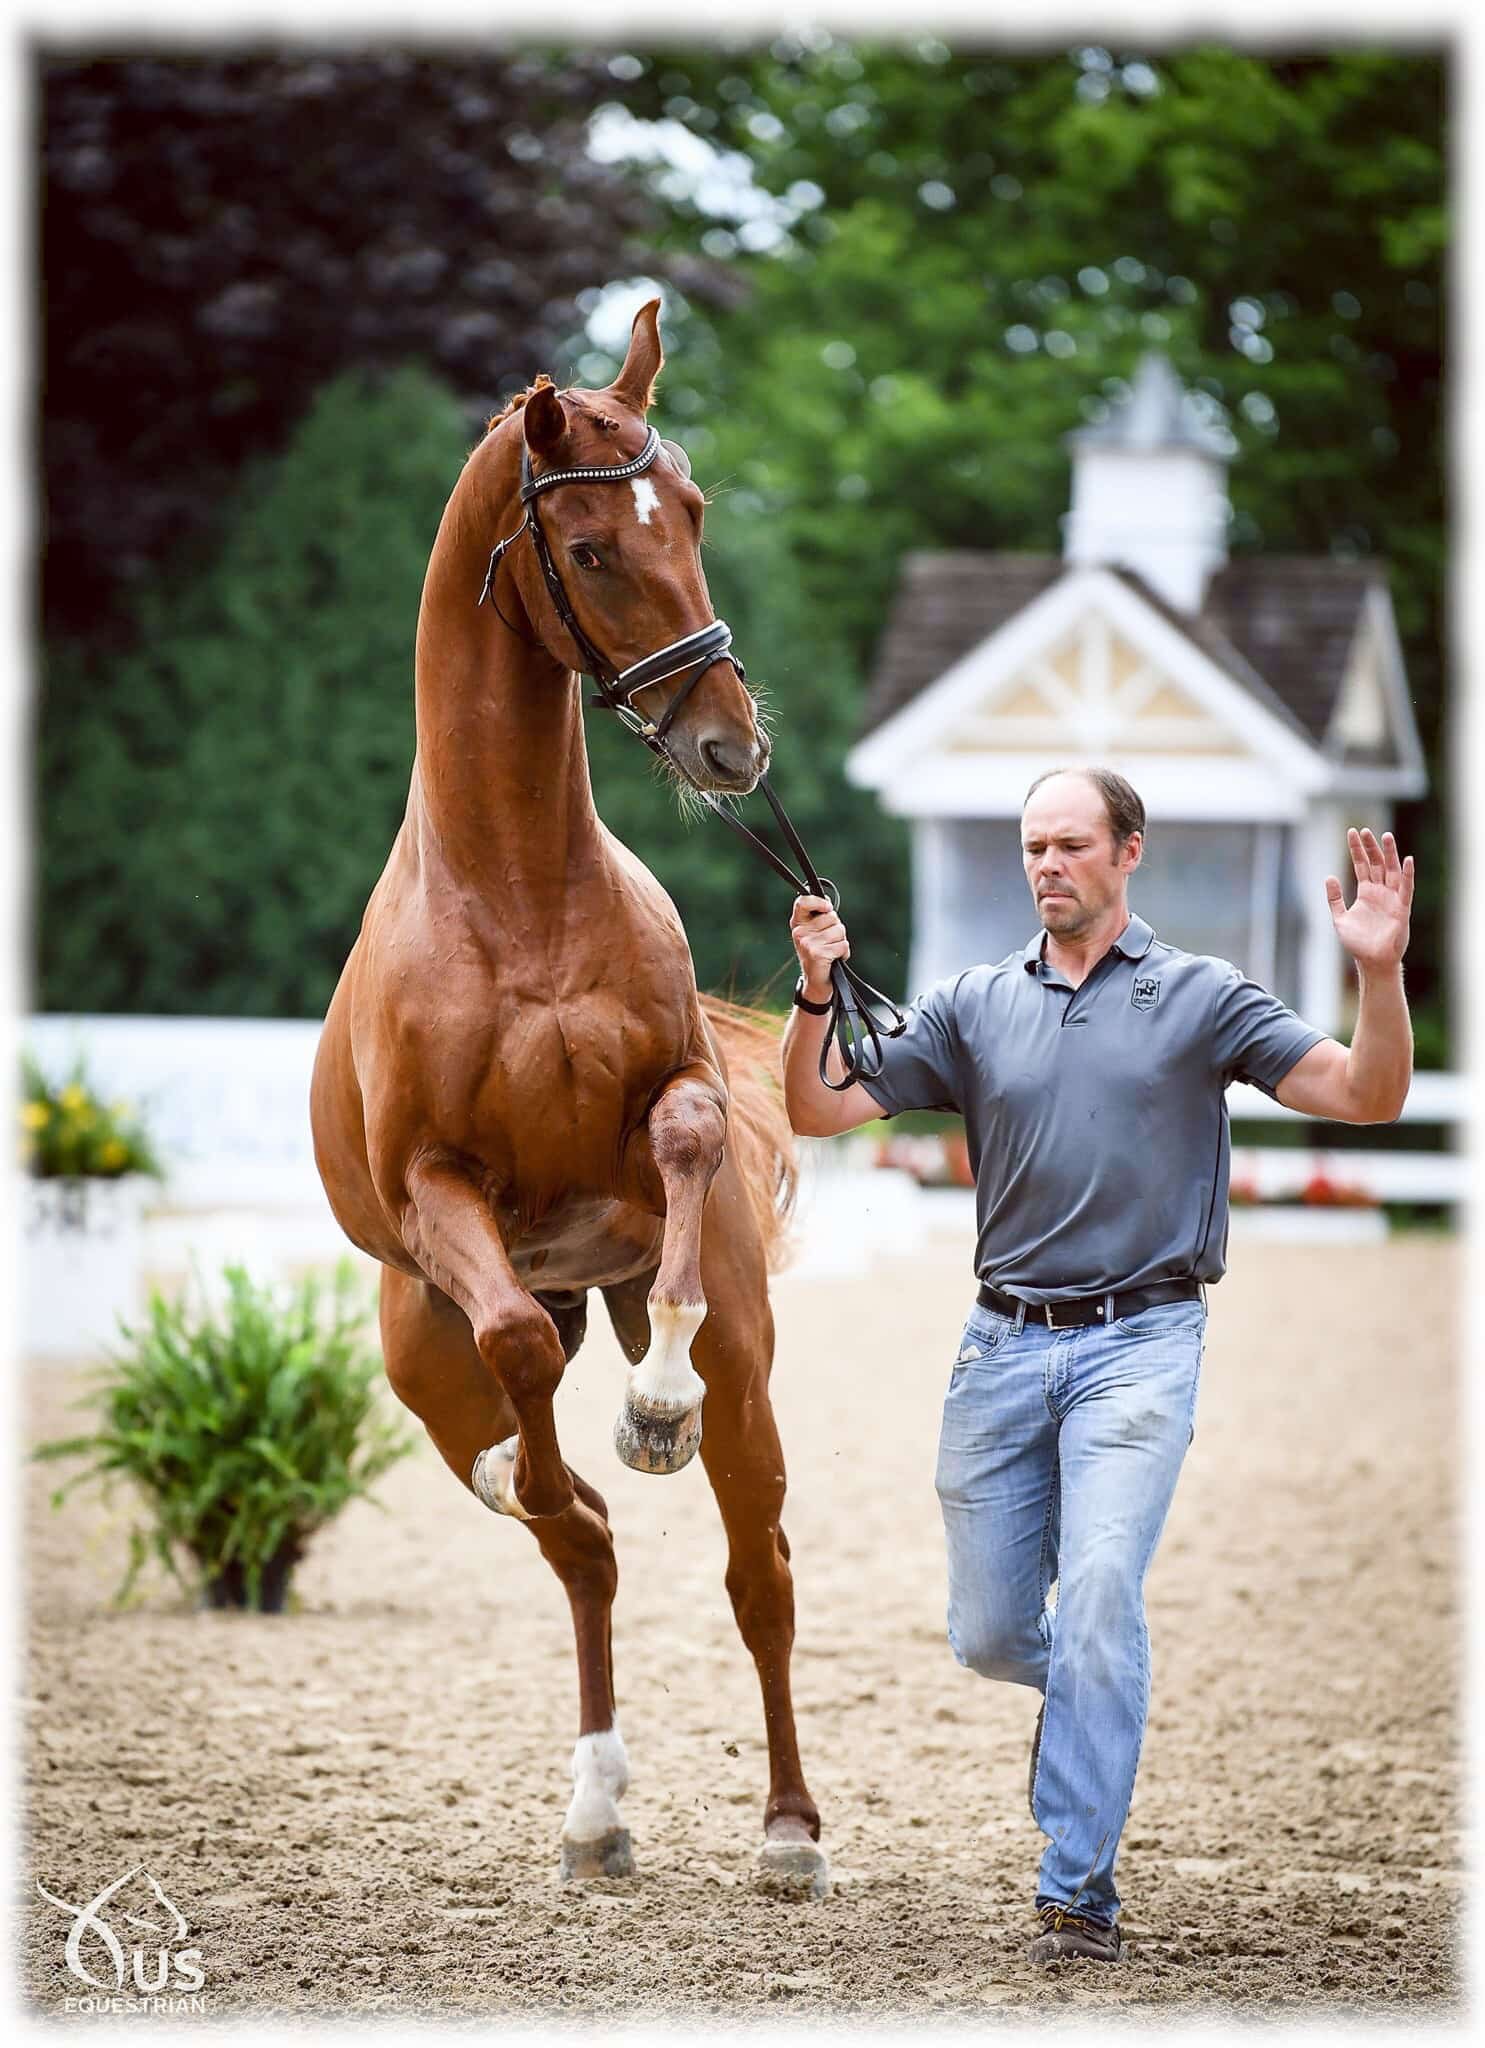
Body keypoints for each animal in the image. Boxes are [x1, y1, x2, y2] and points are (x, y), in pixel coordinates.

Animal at [309, 299, 827, 1884]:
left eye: (697, 516)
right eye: (591, 549)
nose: (733, 745)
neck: (519, 884)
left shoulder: (673, 1096)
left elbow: (688, 1131)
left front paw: (652, 1396)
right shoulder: (439, 1194)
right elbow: (527, 1367)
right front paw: (552, 1461)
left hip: (750, 1379)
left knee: (756, 1567)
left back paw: (790, 1831)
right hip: (424, 1363)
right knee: (573, 1533)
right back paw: (595, 1807)